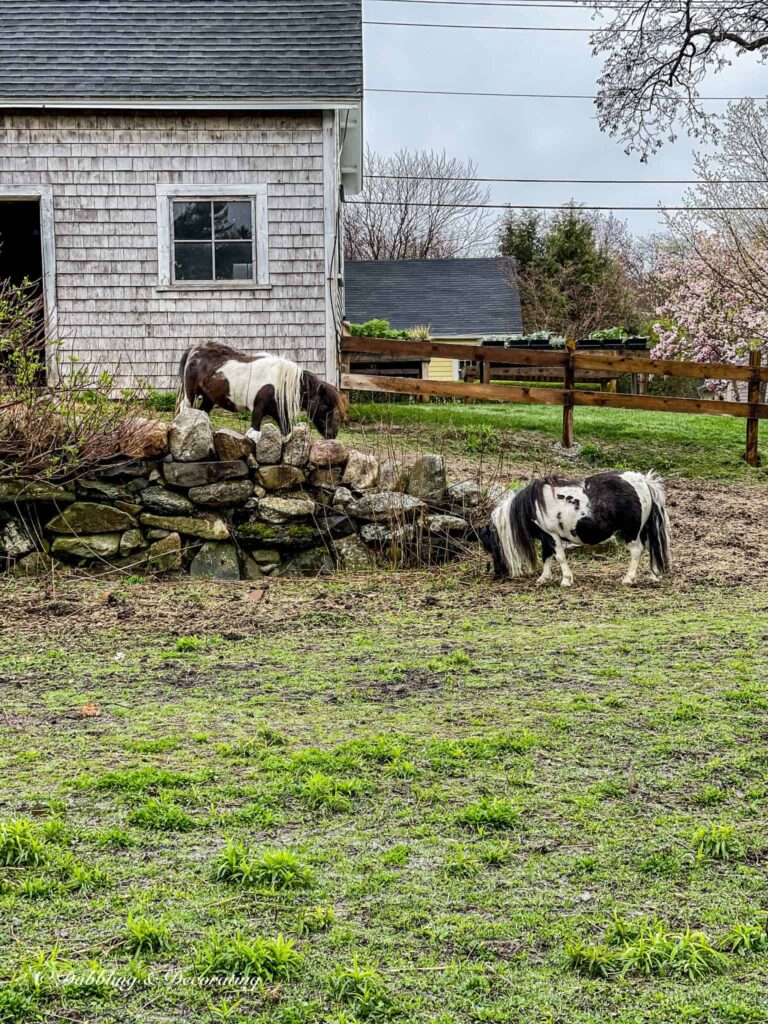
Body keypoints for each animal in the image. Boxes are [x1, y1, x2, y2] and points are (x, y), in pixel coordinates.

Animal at [179, 344, 344, 440]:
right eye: (324, 406)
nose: (333, 433)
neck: (278, 383)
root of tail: (194, 349)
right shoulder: (258, 411)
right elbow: (254, 435)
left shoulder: (279, 414)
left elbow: (287, 435)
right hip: (190, 395)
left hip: (208, 398)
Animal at [483, 468, 671, 585]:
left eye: (492, 546)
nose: (497, 573)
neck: (534, 504)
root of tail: (643, 481)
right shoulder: (546, 537)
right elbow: (547, 557)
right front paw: (544, 578)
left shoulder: (552, 535)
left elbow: (559, 557)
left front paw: (566, 580)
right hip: (644, 530)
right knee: (652, 548)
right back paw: (654, 575)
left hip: (631, 532)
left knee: (637, 551)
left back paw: (628, 579)